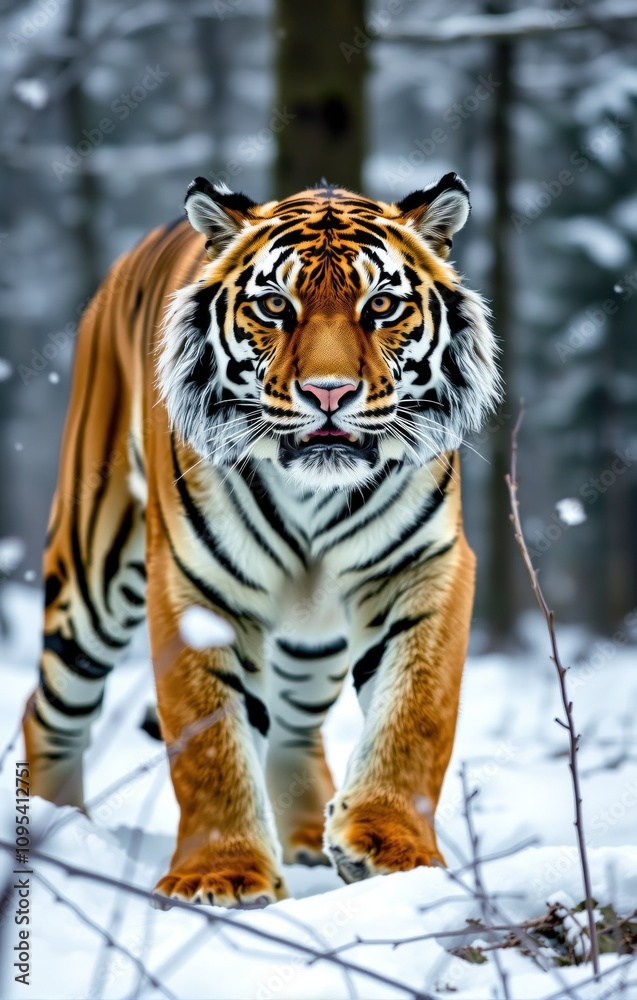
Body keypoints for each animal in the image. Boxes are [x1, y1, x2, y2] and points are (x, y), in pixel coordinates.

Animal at [23, 172, 501, 908]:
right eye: (275, 305)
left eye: (381, 305)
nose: (328, 393)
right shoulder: (192, 586)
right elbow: (209, 738)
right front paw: (221, 875)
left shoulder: (426, 564)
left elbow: (417, 711)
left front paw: (392, 849)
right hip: (91, 581)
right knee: (47, 706)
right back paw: (58, 832)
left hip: (314, 637)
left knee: (296, 722)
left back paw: (307, 835)